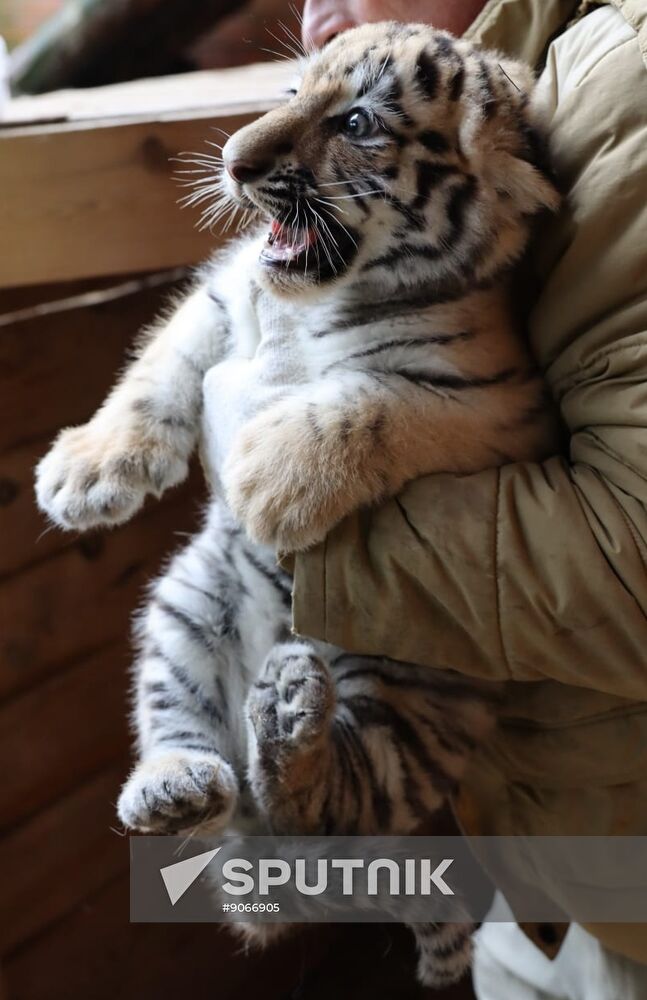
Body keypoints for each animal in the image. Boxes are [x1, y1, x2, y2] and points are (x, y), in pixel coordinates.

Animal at [35, 21, 560, 989]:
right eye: (289, 89)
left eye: (355, 122)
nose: (234, 163)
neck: (311, 302)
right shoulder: (223, 290)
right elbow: (158, 365)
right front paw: (85, 473)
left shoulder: (499, 405)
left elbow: (375, 403)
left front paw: (270, 479)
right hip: (185, 609)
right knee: (201, 753)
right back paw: (178, 782)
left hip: (410, 702)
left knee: (330, 803)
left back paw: (287, 727)